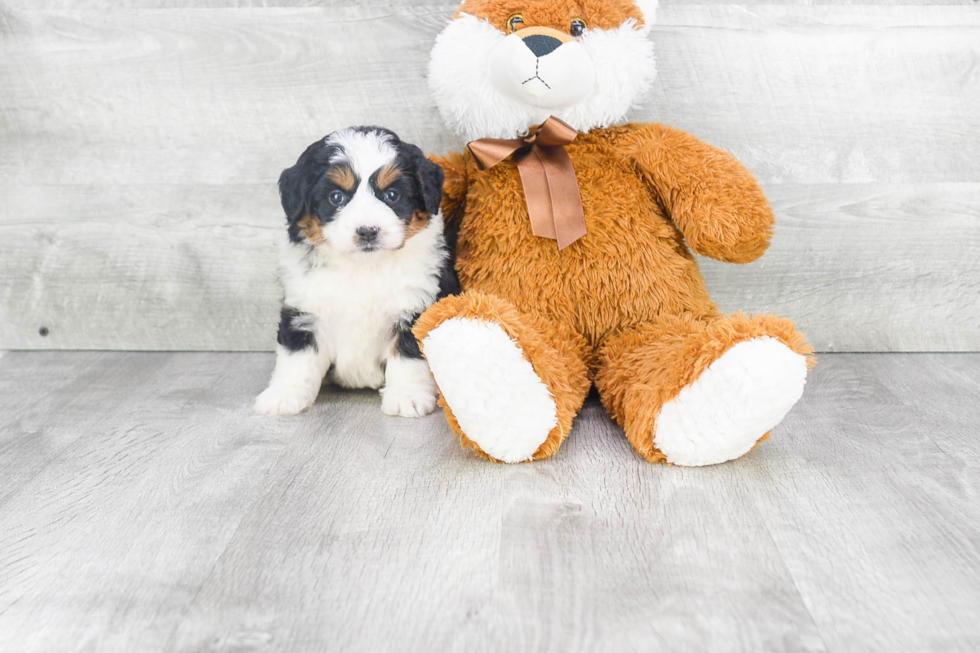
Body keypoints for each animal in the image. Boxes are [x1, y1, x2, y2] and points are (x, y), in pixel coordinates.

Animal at [255, 127, 458, 418]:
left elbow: (408, 356)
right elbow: (296, 357)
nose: (367, 231)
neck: (362, 267)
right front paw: (284, 395)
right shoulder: (304, 310)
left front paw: (407, 397)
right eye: (336, 197)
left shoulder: (416, 307)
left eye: (392, 195)